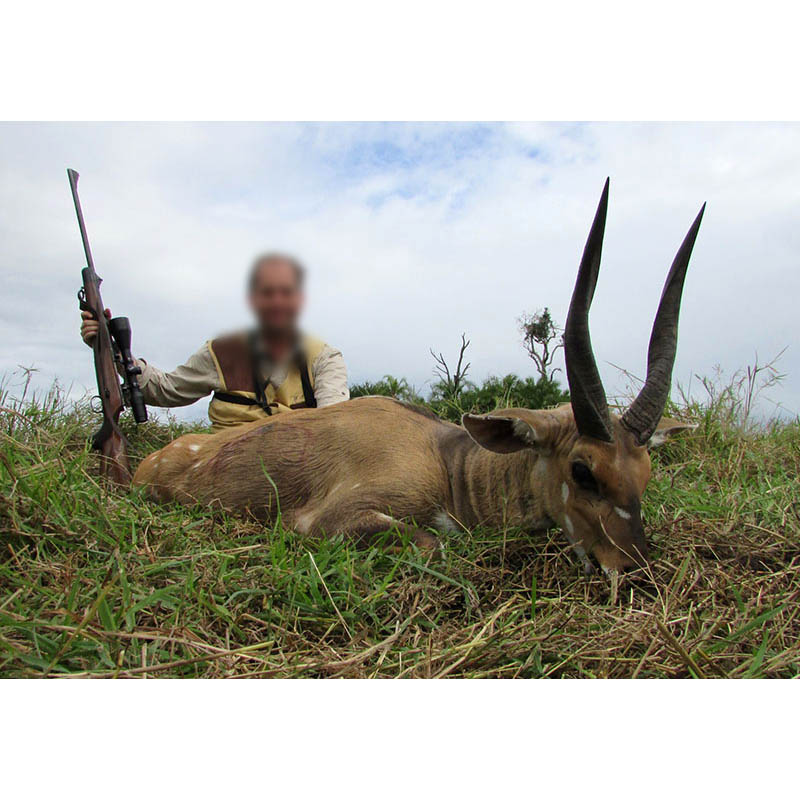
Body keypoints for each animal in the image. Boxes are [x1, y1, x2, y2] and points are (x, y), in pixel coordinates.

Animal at [134, 183, 704, 576]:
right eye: (583, 470)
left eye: (646, 472)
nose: (633, 568)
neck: (448, 463)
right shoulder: (327, 521)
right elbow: (435, 543)